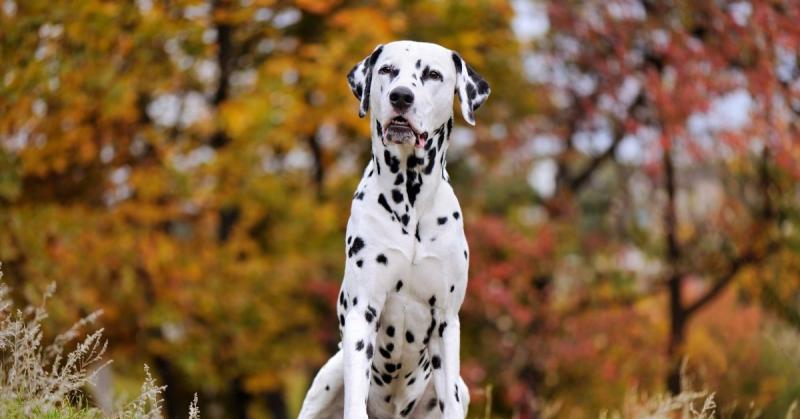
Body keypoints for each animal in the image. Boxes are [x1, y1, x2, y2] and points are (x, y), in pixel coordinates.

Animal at [298, 40, 490, 419]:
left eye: (433, 74)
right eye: (387, 69)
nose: (401, 96)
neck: (410, 202)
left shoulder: (446, 322)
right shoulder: (362, 310)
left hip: (462, 388)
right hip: (328, 378)